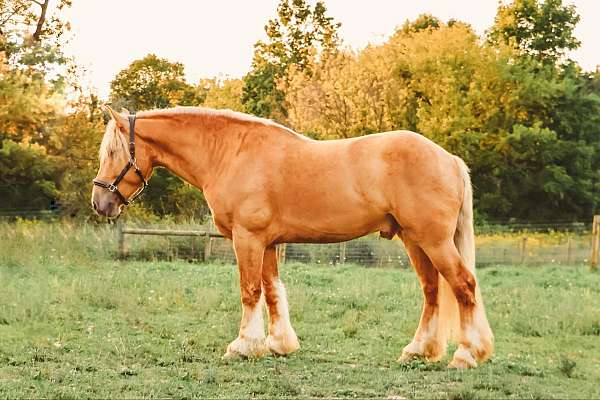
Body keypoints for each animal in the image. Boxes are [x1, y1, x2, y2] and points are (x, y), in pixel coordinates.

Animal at [92, 104, 492, 368]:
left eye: (112, 151)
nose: (100, 203)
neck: (231, 152)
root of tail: (449, 159)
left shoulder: (247, 238)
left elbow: (250, 290)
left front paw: (243, 345)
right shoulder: (267, 243)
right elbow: (271, 291)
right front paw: (279, 344)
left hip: (433, 241)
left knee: (464, 285)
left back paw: (466, 355)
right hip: (413, 240)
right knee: (433, 291)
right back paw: (418, 351)